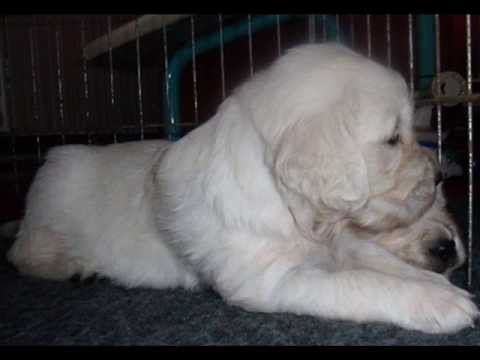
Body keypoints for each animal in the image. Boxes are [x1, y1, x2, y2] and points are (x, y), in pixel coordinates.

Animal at [5, 43, 478, 334]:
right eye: (392, 139)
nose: (439, 176)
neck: (290, 209)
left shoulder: (342, 240)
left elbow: (378, 261)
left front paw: (441, 285)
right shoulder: (270, 280)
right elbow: (361, 282)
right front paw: (442, 304)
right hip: (50, 205)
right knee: (22, 253)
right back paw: (73, 267)